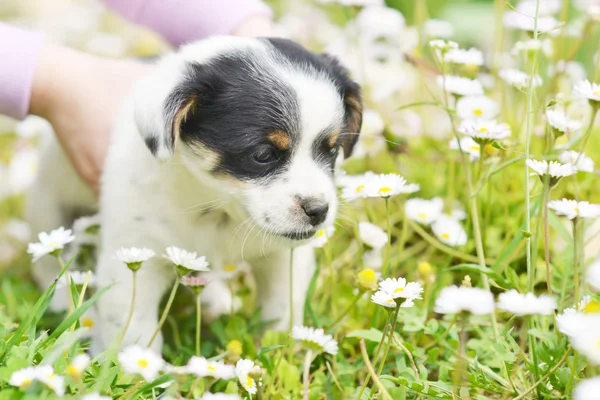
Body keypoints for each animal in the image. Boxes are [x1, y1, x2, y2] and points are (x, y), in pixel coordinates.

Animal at [27, 36, 360, 352]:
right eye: (263, 154)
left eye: (332, 150)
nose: (318, 211)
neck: (216, 209)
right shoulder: (133, 256)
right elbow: (132, 330)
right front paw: (135, 368)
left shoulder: (284, 257)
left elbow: (281, 313)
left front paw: (282, 351)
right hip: (50, 205)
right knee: (49, 259)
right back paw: (59, 300)